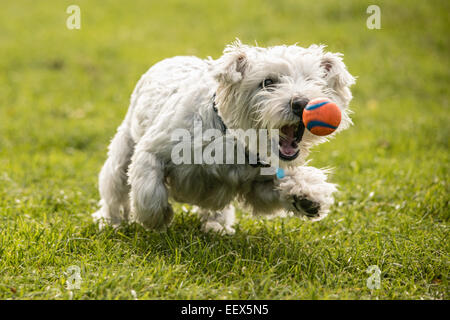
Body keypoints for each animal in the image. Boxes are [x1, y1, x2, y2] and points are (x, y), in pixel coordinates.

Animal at [92, 40, 356, 235]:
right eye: (268, 82)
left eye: (314, 82)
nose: (301, 103)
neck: (233, 139)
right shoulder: (152, 150)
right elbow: (149, 190)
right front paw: (155, 218)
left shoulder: (257, 184)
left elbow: (275, 189)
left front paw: (306, 195)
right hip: (122, 151)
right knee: (114, 189)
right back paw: (110, 222)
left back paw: (216, 226)